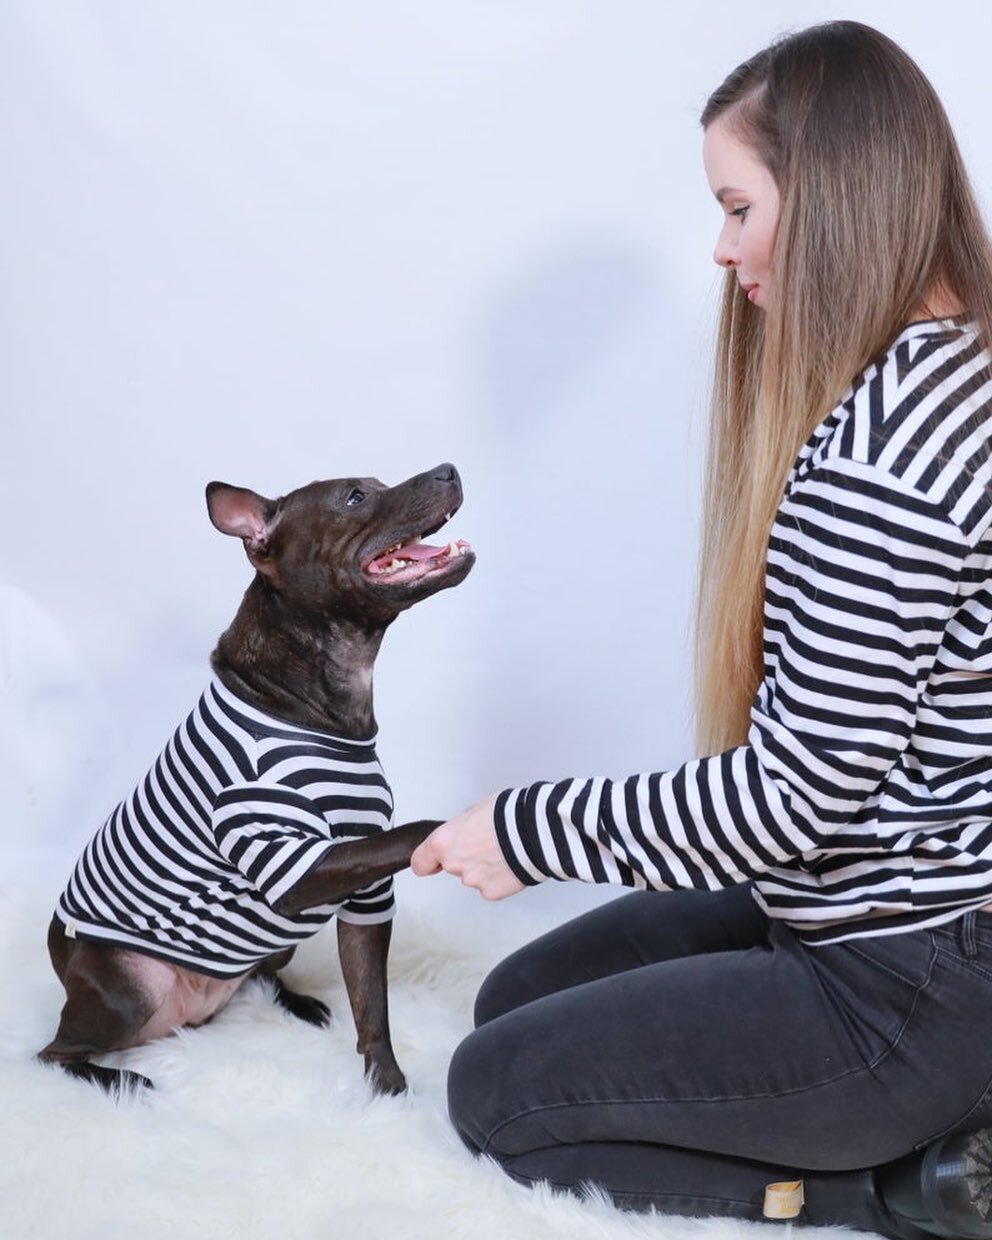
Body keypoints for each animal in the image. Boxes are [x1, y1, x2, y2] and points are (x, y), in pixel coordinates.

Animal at [37, 463, 473, 1096]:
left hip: (270, 950)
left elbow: (371, 1001)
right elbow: (410, 832)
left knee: (259, 980)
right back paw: (123, 1083)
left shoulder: (364, 897)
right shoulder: (295, 865)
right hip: (127, 990)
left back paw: (299, 1005)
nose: (448, 470)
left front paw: (385, 1087)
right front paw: (464, 829)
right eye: (355, 497)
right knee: (54, 1052)